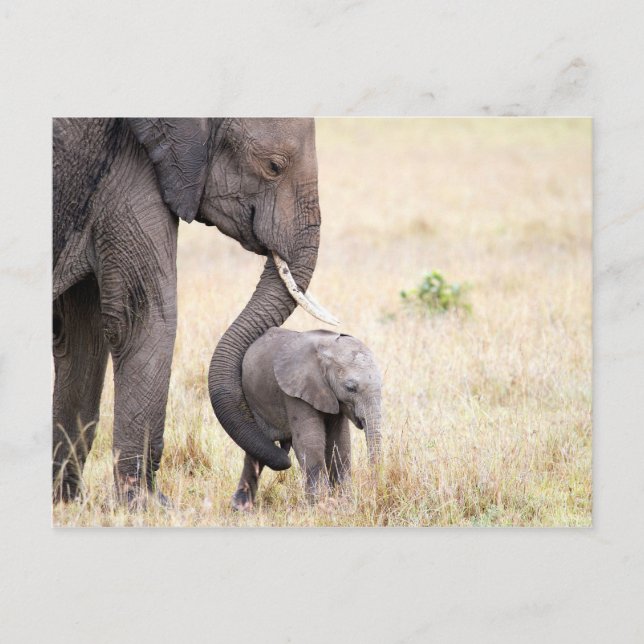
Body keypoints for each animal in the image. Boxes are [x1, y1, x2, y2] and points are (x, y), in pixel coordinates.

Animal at [52, 118, 337, 504]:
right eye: (273, 167)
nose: (284, 451)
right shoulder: (132, 166)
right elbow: (144, 317)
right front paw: (148, 505)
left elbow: (83, 334)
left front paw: (67, 503)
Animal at [231, 328, 383, 510]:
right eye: (350, 388)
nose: (375, 489)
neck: (327, 348)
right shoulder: (296, 390)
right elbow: (310, 442)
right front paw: (319, 506)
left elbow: (339, 443)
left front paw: (343, 502)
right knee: (257, 446)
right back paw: (241, 508)